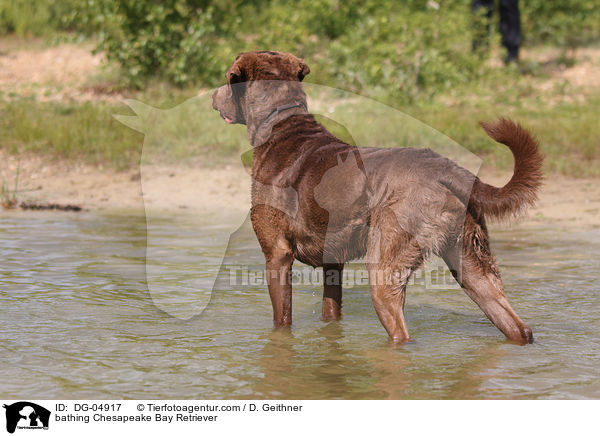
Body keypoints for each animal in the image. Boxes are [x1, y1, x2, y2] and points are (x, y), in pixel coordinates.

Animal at [212, 51, 544, 344]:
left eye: (228, 77)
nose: (212, 95)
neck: (280, 121)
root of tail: (448, 168)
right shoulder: (333, 261)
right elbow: (330, 311)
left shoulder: (277, 254)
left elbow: (282, 319)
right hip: (471, 259)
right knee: (516, 324)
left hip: (386, 261)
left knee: (399, 330)